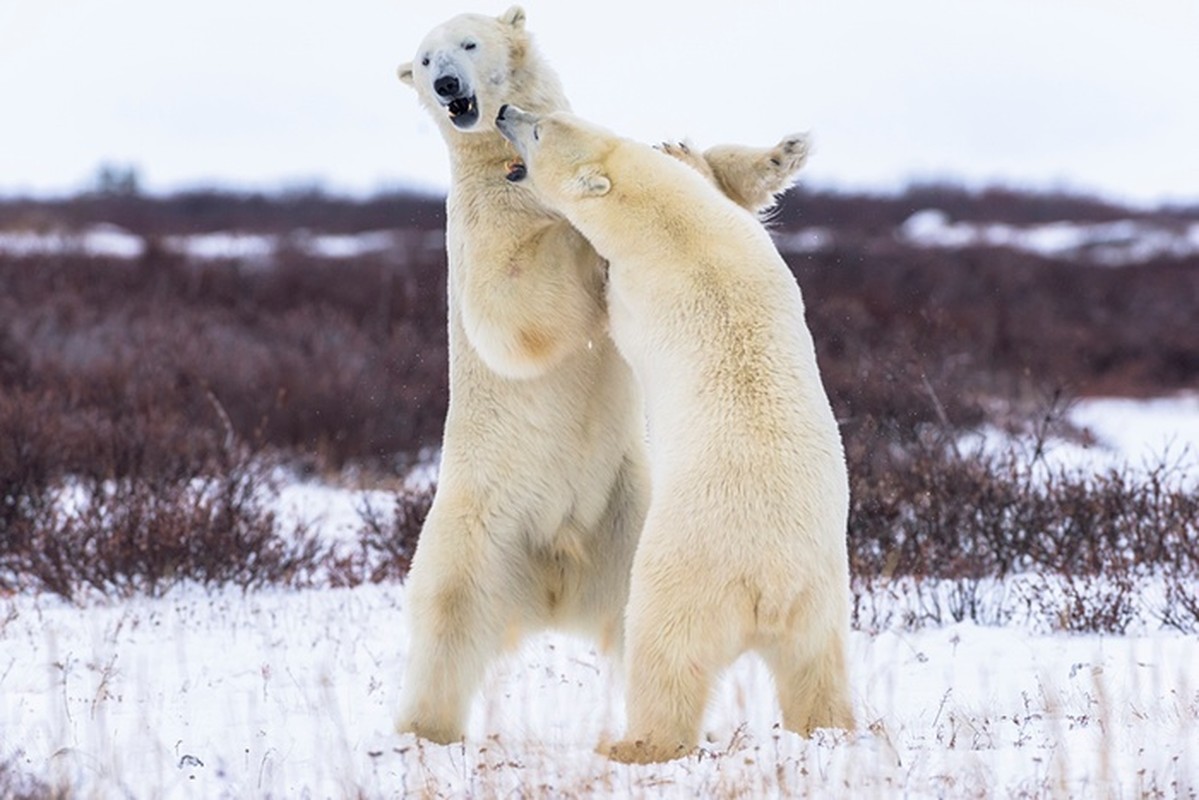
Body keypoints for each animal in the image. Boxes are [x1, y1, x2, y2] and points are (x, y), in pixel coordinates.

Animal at [395, 4, 815, 743]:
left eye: (466, 43)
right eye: (422, 60)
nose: (447, 85)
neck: (500, 168)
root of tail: (554, 582)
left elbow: (710, 183)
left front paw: (777, 152)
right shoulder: (476, 230)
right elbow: (512, 311)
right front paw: (575, 220)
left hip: (628, 524)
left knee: (633, 625)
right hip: (475, 532)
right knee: (447, 628)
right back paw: (425, 729)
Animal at [501, 104, 858, 762]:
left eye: (539, 130)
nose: (509, 112)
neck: (673, 226)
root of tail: (766, 582)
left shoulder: (638, 290)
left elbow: (611, 313)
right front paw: (682, 151)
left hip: (679, 578)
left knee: (663, 659)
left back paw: (631, 744)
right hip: (818, 601)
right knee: (815, 670)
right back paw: (831, 729)